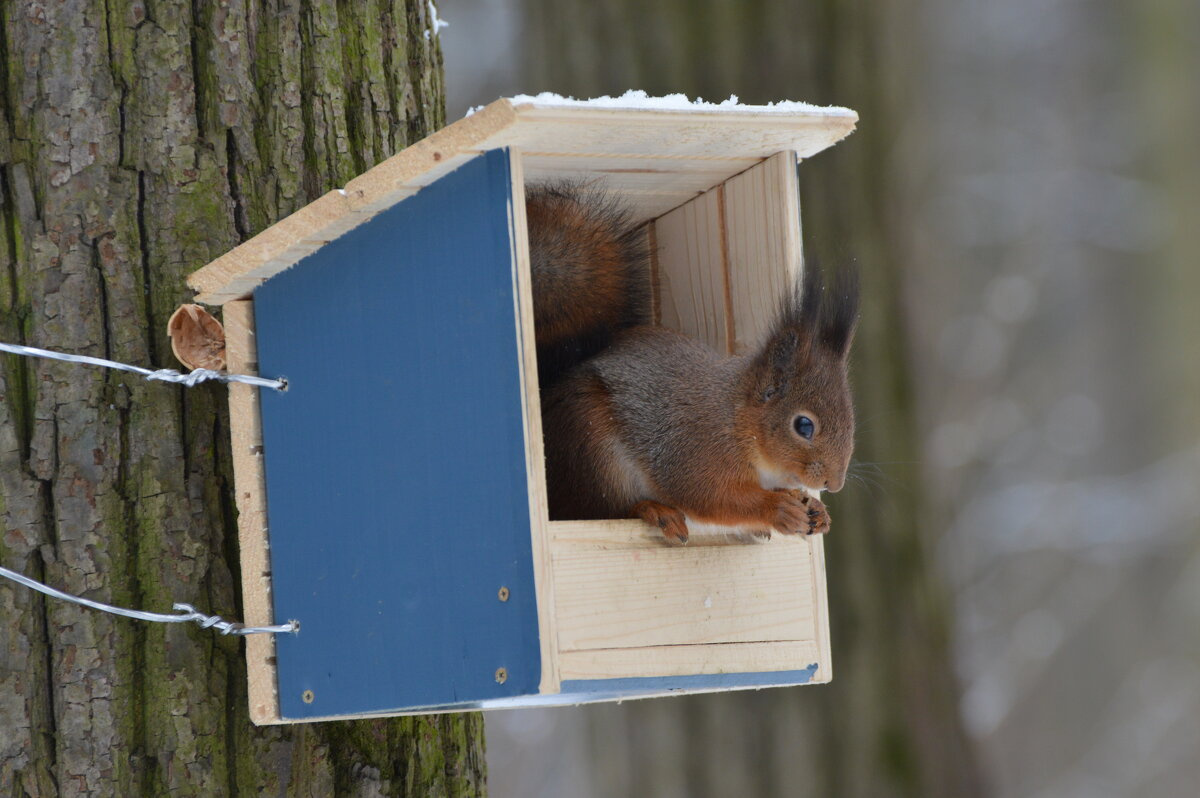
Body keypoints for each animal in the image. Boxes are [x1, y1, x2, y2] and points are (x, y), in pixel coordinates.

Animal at [527, 182, 858, 543]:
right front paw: (777, 509)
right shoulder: (694, 453)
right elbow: (712, 497)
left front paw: (815, 509)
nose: (834, 484)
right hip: (594, 452)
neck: (737, 420)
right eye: (804, 426)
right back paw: (652, 510)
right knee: (603, 509)